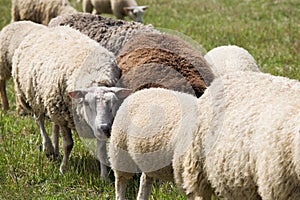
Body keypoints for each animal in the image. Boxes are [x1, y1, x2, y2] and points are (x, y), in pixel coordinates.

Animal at [12, 25, 119, 180]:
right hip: (34, 98)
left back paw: (55, 150)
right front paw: (63, 170)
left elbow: (101, 149)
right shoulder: (64, 117)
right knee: (40, 121)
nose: (106, 129)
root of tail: (50, 28)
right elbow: (68, 144)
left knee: (53, 126)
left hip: (51, 102)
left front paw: (104, 177)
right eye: (88, 104)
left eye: (112, 105)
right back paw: (48, 148)